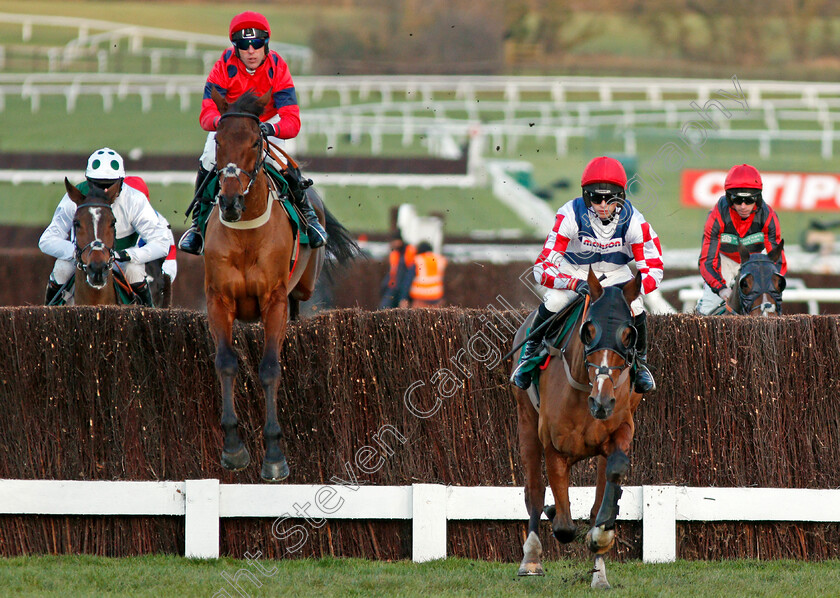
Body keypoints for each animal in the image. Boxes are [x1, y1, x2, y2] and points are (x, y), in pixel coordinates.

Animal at [207, 88, 358, 482]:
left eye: (256, 142)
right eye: (218, 140)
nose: (230, 202)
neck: (246, 235)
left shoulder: (273, 301)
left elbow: (270, 368)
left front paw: (274, 454)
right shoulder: (219, 300)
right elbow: (226, 361)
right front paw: (233, 448)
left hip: (303, 286)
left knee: (298, 304)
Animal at [512, 270, 644, 592]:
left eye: (629, 333)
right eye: (589, 329)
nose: (602, 402)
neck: (587, 388)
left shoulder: (619, 431)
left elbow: (611, 481)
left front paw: (601, 541)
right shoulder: (554, 447)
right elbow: (563, 527)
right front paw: (554, 514)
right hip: (526, 422)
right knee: (534, 492)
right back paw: (531, 559)